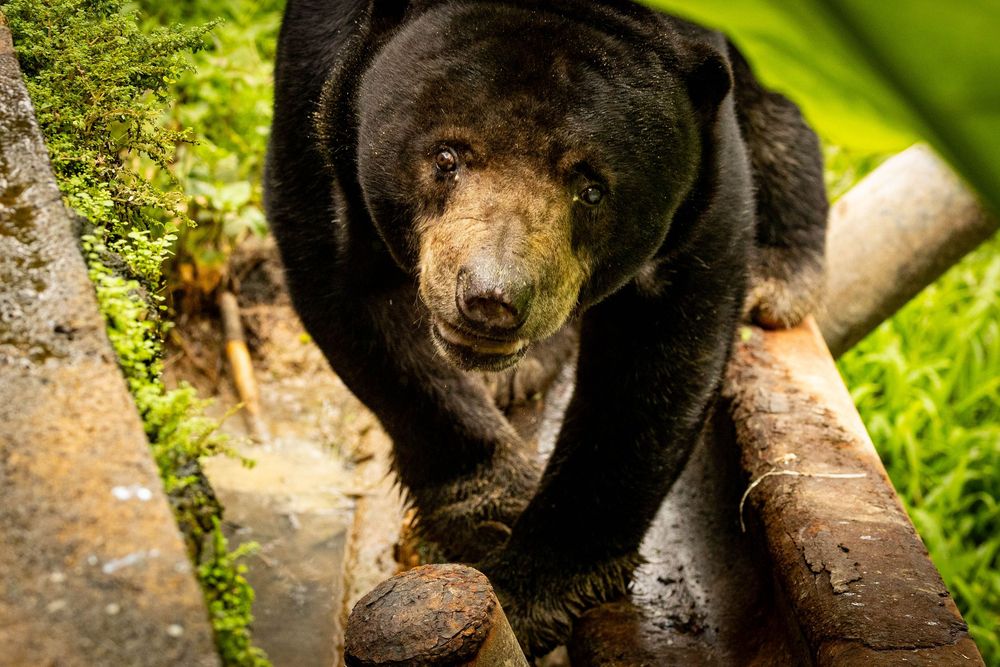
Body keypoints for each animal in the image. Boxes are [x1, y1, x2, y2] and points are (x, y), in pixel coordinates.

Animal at [265, 0, 827, 657]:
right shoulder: (319, 87)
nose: (491, 300)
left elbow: (661, 349)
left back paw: (782, 273)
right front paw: (492, 506)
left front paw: (527, 591)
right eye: (447, 158)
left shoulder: (701, 184)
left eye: (592, 189)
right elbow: (346, 287)